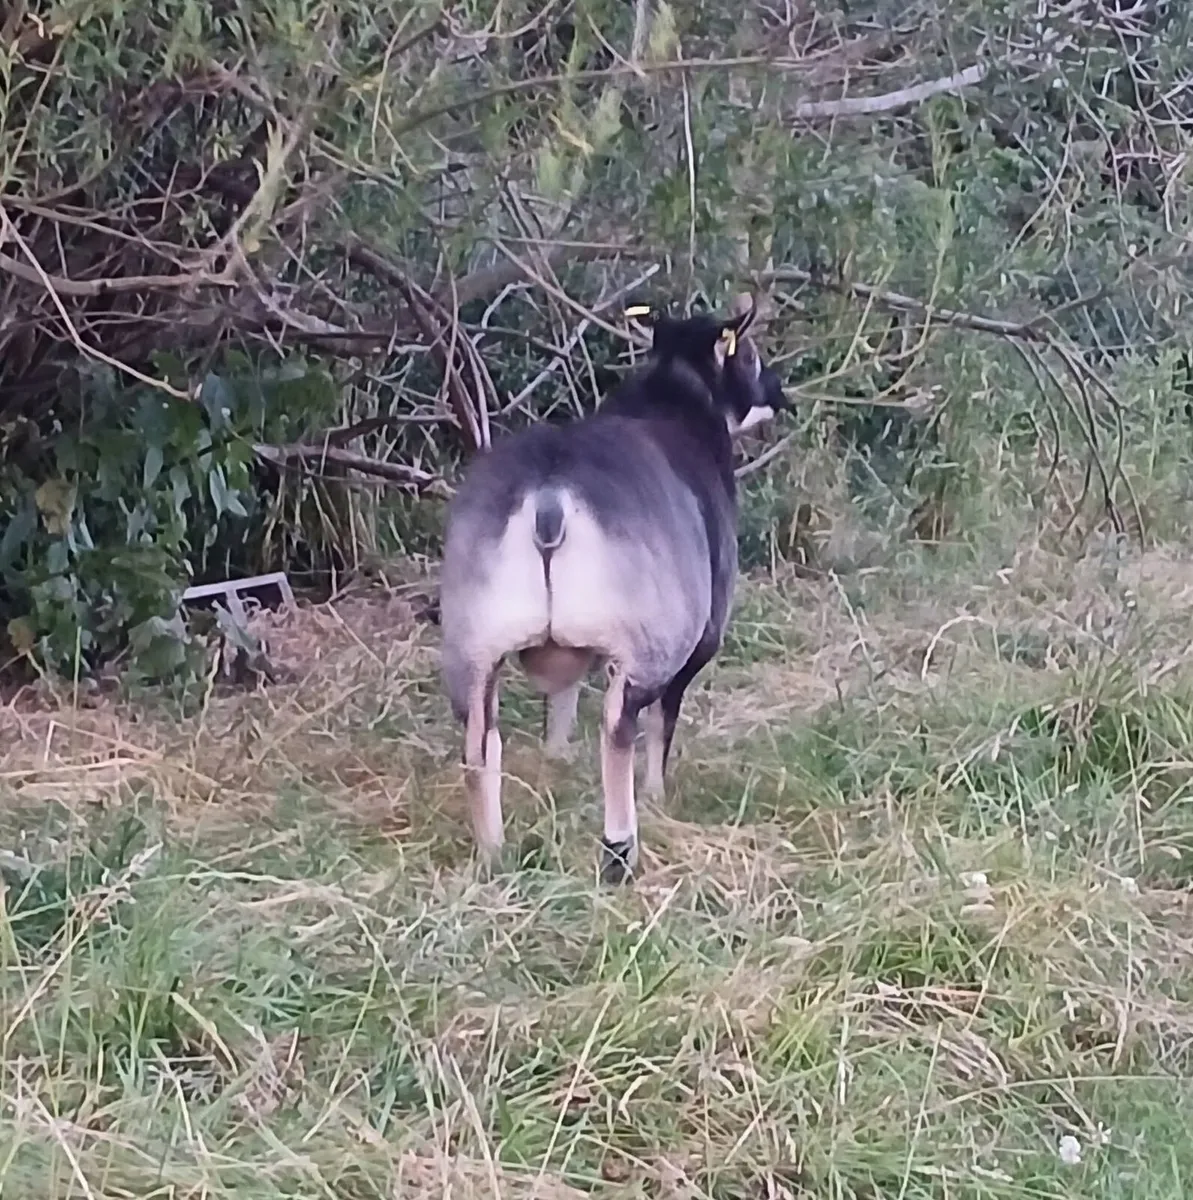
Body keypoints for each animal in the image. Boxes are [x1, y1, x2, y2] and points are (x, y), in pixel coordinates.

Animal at [439, 295, 785, 883]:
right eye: (750, 355)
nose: (779, 394)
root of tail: (548, 497)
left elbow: (561, 701)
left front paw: (556, 761)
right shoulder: (699, 639)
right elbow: (663, 723)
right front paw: (657, 795)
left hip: (473, 650)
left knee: (480, 745)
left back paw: (493, 852)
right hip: (646, 643)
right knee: (619, 727)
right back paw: (619, 848)